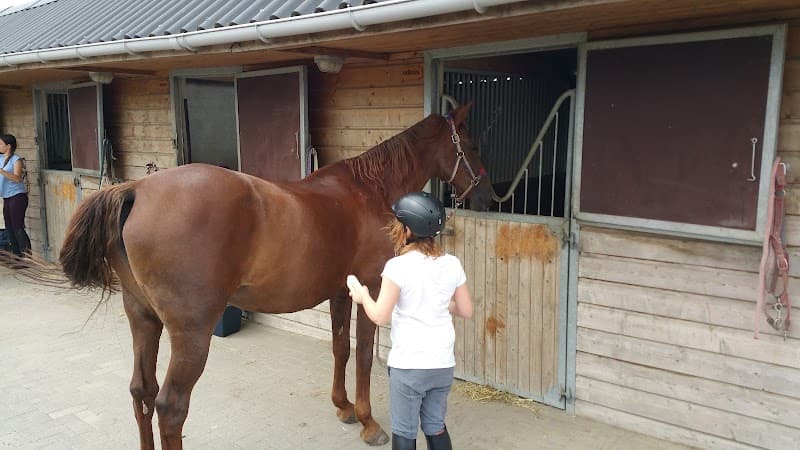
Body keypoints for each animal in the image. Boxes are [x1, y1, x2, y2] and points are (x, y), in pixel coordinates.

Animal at [58, 103, 494, 449]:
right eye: (471, 145)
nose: (488, 194)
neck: (367, 191)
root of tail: (137, 190)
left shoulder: (340, 292)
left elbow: (340, 348)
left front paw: (343, 407)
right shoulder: (370, 289)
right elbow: (364, 356)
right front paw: (369, 422)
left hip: (143, 319)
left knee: (142, 392)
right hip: (191, 334)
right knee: (170, 407)